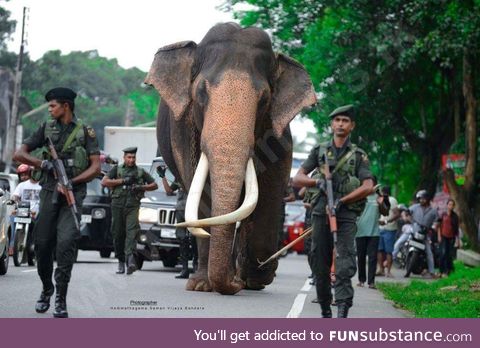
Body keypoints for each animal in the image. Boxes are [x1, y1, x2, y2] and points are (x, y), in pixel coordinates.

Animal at [146, 21, 318, 294]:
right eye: (201, 93)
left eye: (264, 100)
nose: (234, 285)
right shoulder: (184, 131)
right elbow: (203, 193)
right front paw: (201, 285)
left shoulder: (278, 133)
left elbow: (269, 191)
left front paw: (255, 278)